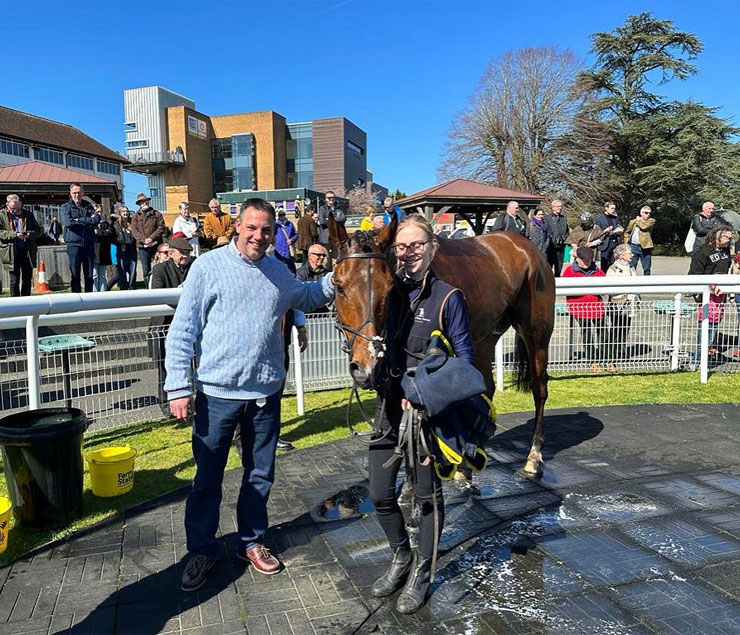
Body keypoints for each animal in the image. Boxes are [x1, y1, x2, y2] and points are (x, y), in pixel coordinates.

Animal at [330, 216, 556, 474]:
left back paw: (533, 456)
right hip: (485, 337)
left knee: (539, 388)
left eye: (389, 288)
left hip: (536, 335)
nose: (366, 366)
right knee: (486, 388)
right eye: (339, 286)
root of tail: (527, 247)